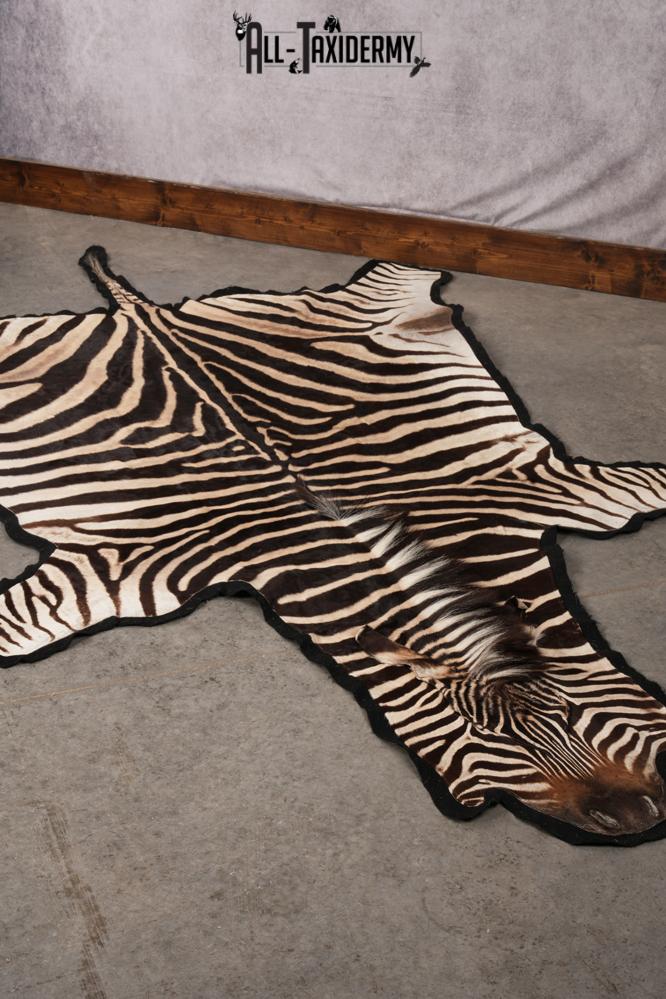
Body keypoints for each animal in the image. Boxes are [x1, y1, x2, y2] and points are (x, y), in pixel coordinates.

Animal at [0, 245, 665, 844]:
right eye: (488, 738)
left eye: (572, 713)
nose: (638, 818)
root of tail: (143, 312)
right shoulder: (124, 564)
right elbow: (18, 625)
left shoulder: (532, 487)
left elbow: (644, 485)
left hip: (375, 308)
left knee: (402, 273)